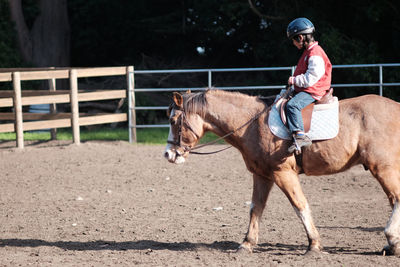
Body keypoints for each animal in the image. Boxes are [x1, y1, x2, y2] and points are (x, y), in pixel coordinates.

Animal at [164, 89, 400, 256]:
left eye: (173, 121)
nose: (168, 154)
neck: (252, 124)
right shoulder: (261, 175)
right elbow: (256, 208)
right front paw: (246, 244)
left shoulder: (283, 173)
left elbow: (300, 205)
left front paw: (314, 245)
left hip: (382, 167)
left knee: (396, 198)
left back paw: (391, 240)